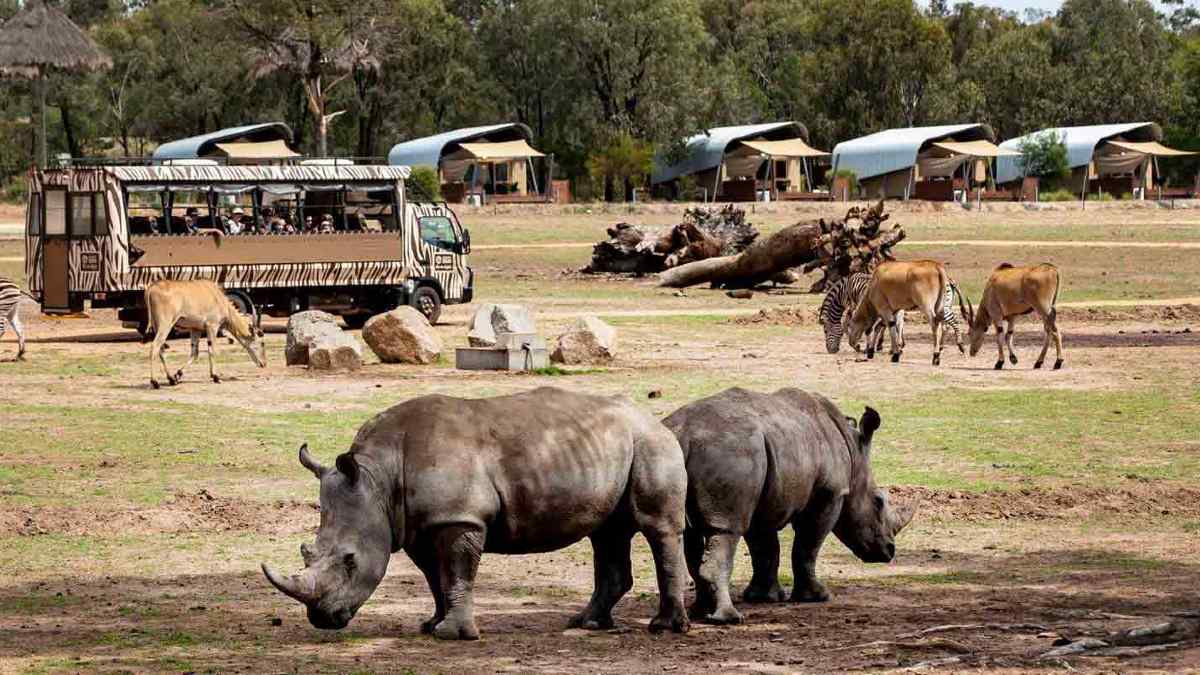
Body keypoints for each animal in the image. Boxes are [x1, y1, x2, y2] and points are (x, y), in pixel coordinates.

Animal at [816, 269, 964, 353]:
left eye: (825, 331)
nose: (831, 351)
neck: (846, 289)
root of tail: (949, 279)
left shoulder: (856, 306)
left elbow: (851, 324)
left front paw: (860, 345)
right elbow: (891, 325)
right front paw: (895, 345)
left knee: (953, 321)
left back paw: (960, 345)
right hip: (942, 306)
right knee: (945, 325)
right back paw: (941, 347)